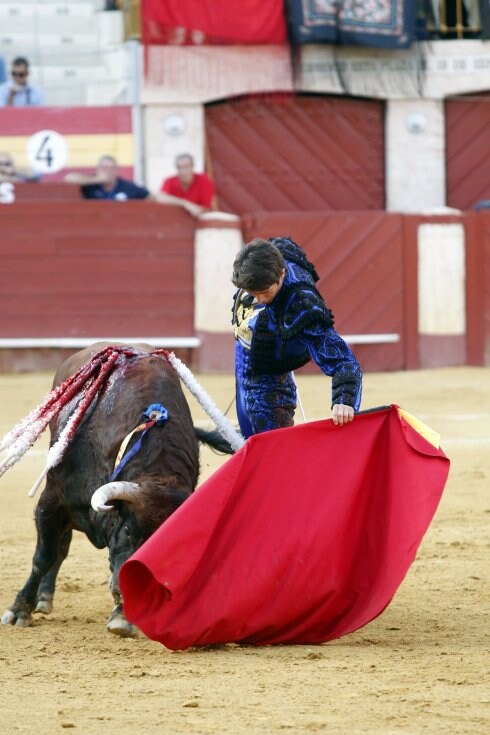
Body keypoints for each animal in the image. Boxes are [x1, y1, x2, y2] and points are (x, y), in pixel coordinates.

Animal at [1, 342, 235, 636]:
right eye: (128, 530)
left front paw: (123, 616)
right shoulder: (51, 500)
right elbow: (43, 556)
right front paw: (19, 610)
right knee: (59, 547)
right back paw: (43, 598)